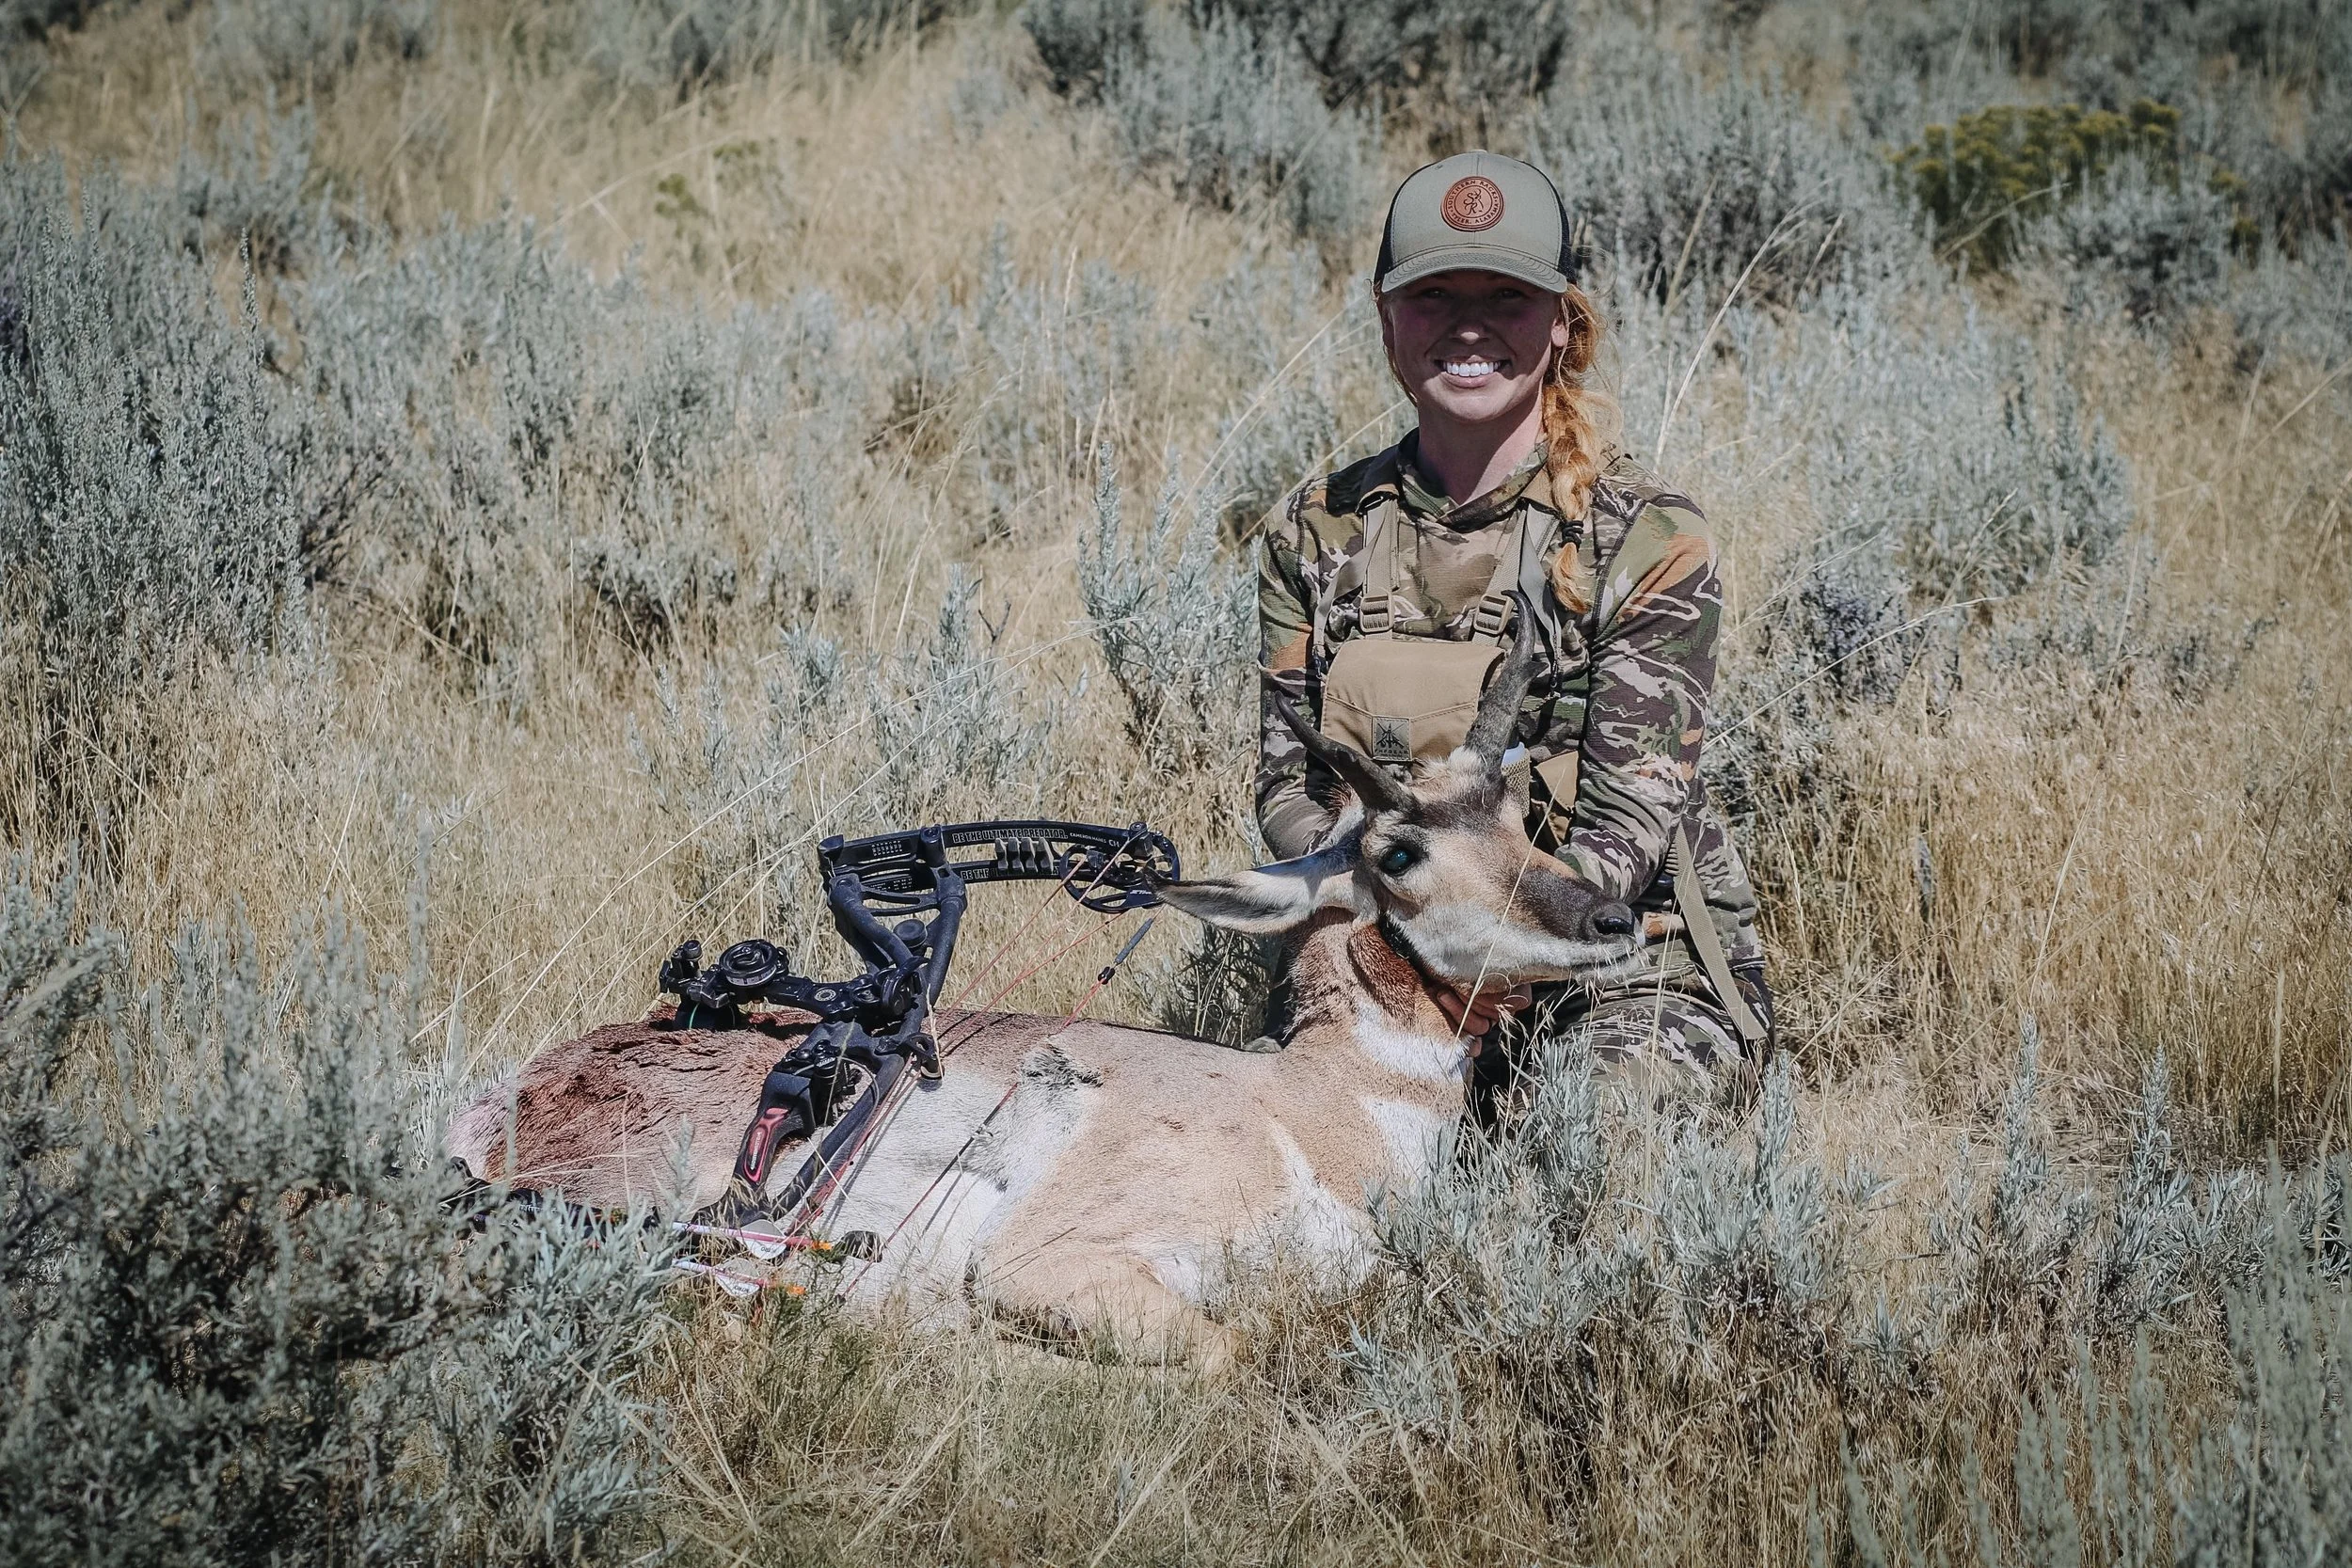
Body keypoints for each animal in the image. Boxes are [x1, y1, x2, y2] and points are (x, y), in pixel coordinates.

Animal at [446, 624, 1640, 1362]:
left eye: (1518, 809)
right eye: (1397, 850)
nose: (1613, 918)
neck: (1312, 1108)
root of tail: (525, 1083)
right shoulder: (1052, 1267)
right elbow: (1230, 1350)